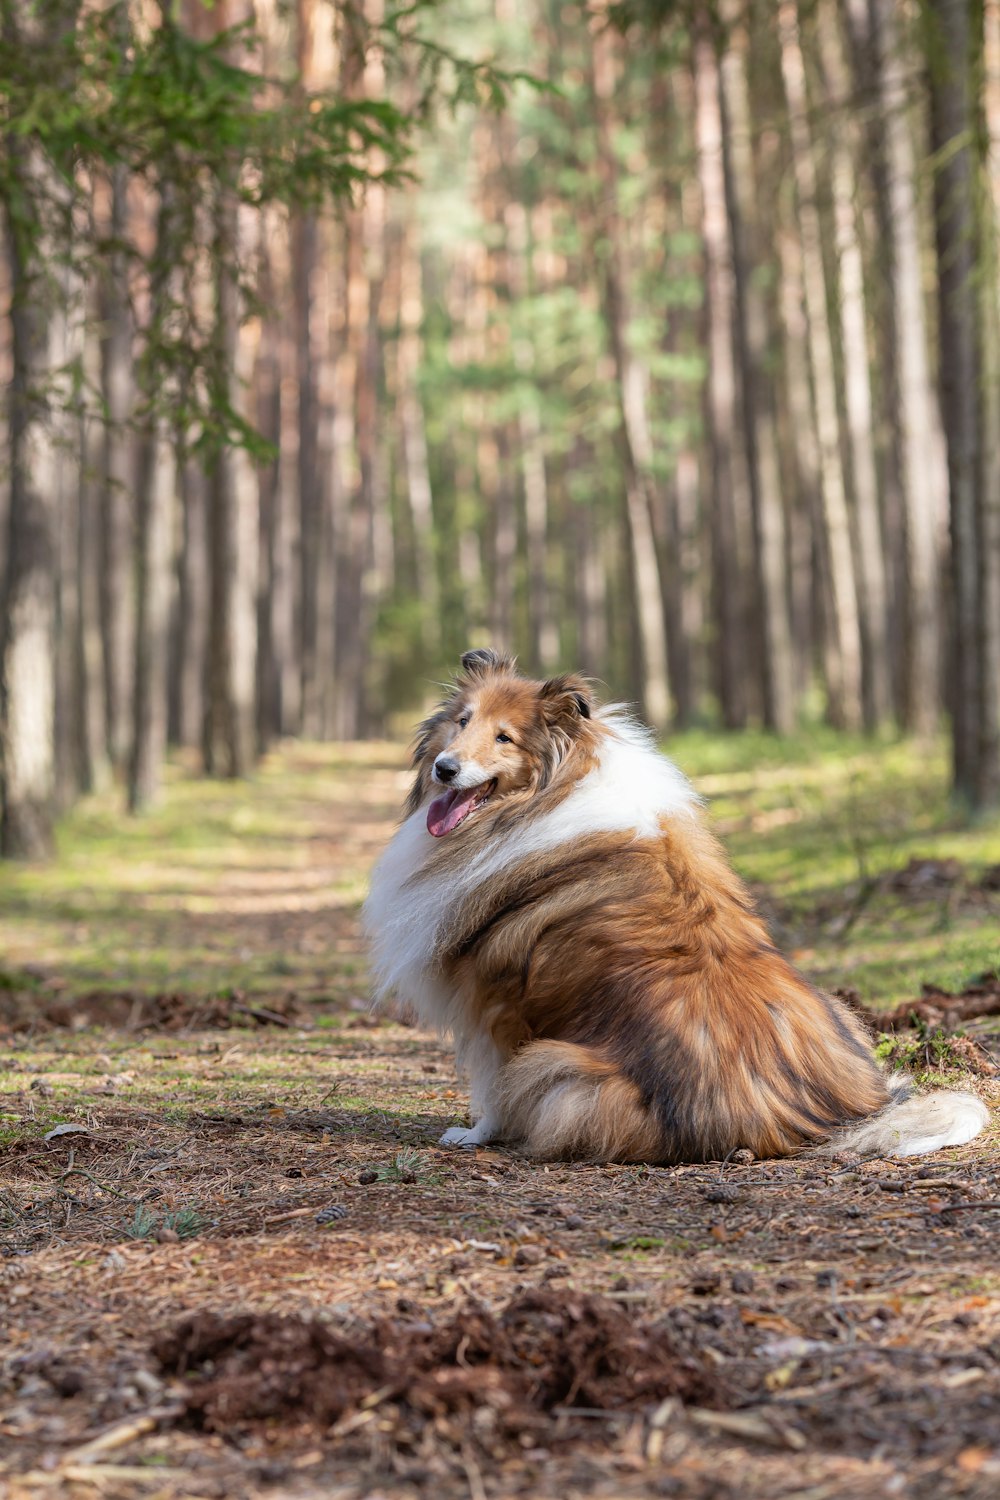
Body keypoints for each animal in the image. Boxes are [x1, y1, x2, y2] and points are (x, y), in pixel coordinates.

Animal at [364, 654, 989, 1158]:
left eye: (504, 739)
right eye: (463, 720)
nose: (445, 768)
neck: (550, 790)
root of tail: (827, 1119)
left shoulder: (495, 1002)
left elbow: (491, 1085)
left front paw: (474, 1135)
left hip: (563, 1068)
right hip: (842, 1011)